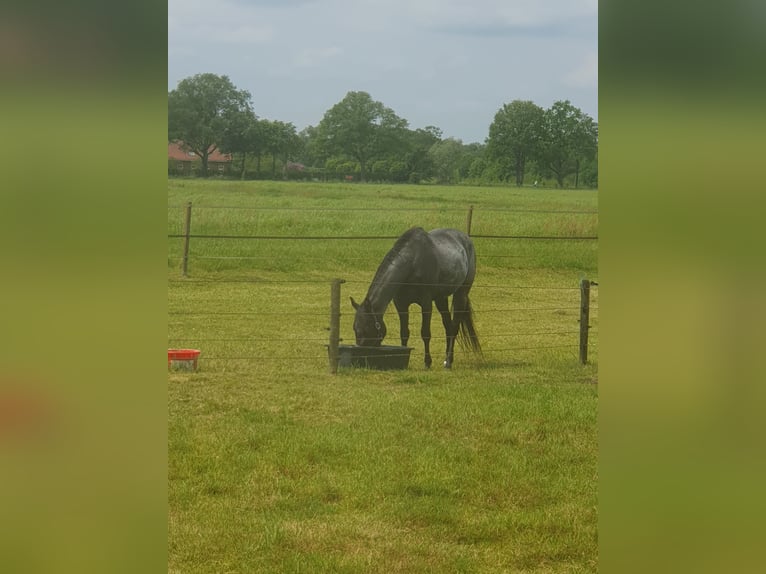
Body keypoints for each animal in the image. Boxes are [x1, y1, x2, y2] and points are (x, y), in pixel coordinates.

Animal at [352, 225, 484, 368]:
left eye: (366, 328)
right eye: (355, 328)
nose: (362, 353)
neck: (412, 262)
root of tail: (466, 239)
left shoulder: (426, 303)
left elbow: (425, 333)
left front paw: (427, 362)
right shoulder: (401, 305)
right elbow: (404, 332)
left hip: (461, 294)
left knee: (454, 327)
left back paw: (448, 362)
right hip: (440, 298)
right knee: (448, 326)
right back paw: (447, 359)